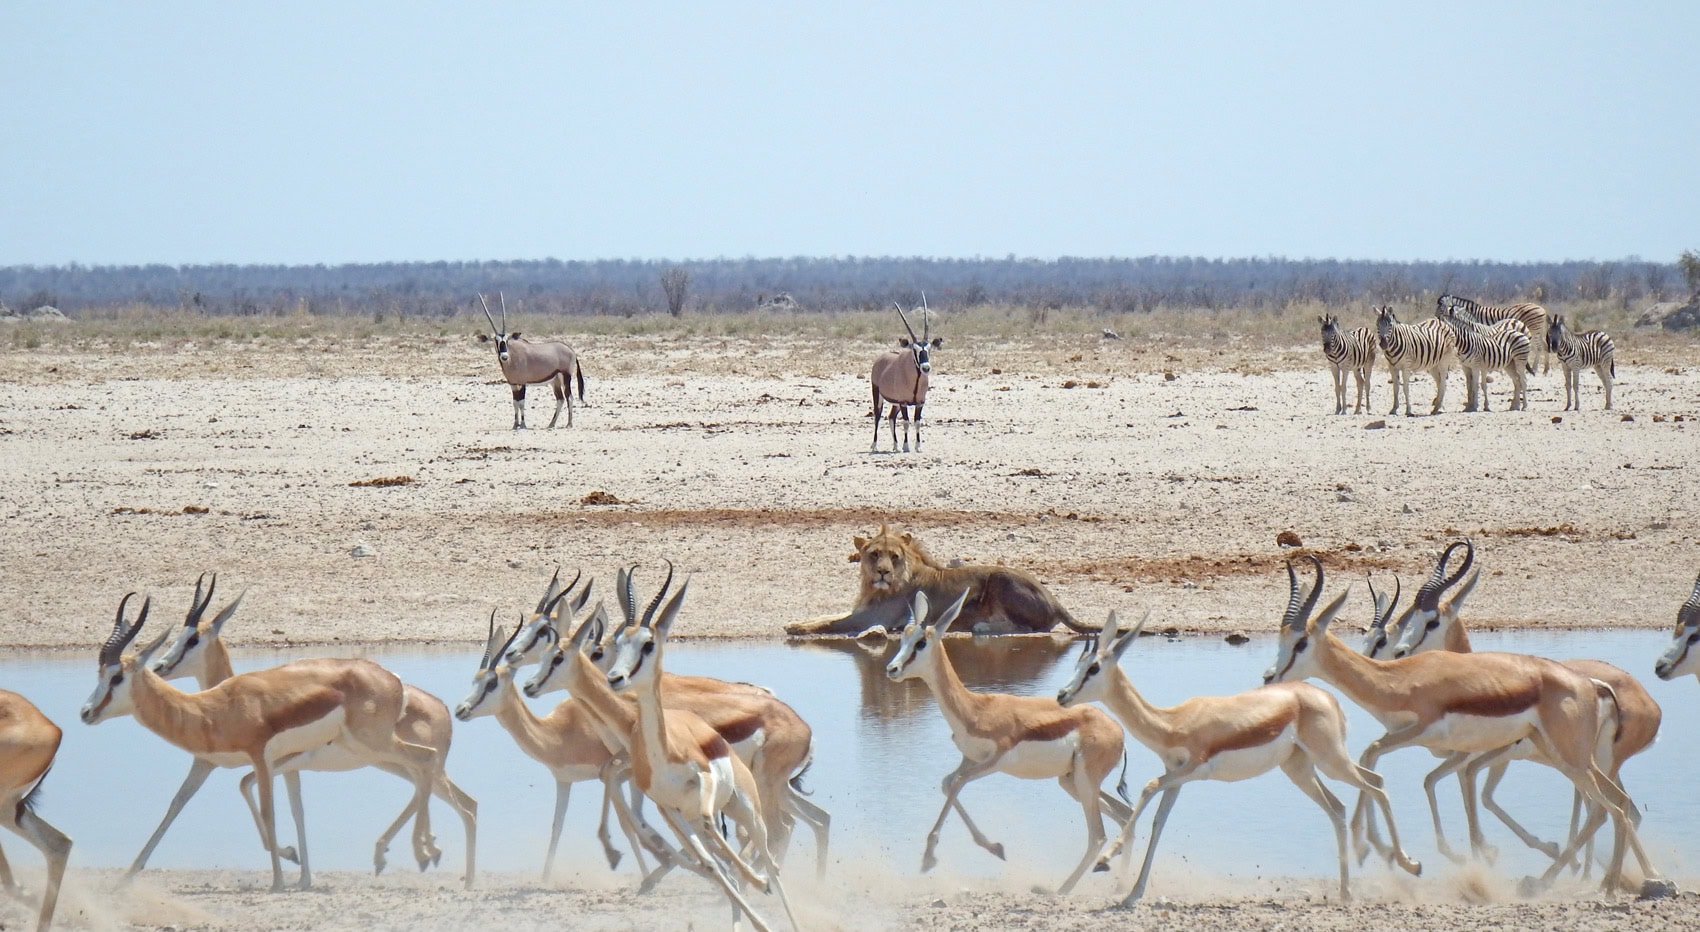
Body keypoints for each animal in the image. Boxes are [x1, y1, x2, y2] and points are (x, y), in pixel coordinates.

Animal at [783, 524, 1091, 636]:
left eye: (894, 557)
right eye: (874, 555)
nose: (883, 572)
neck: (873, 588)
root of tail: (1055, 600)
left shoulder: (874, 618)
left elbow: (832, 622)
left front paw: (798, 629)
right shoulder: (862, 611)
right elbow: (827, 615)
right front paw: (795, 622)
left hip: (1001, 577)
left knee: (1028, 628)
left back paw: (981, 626)